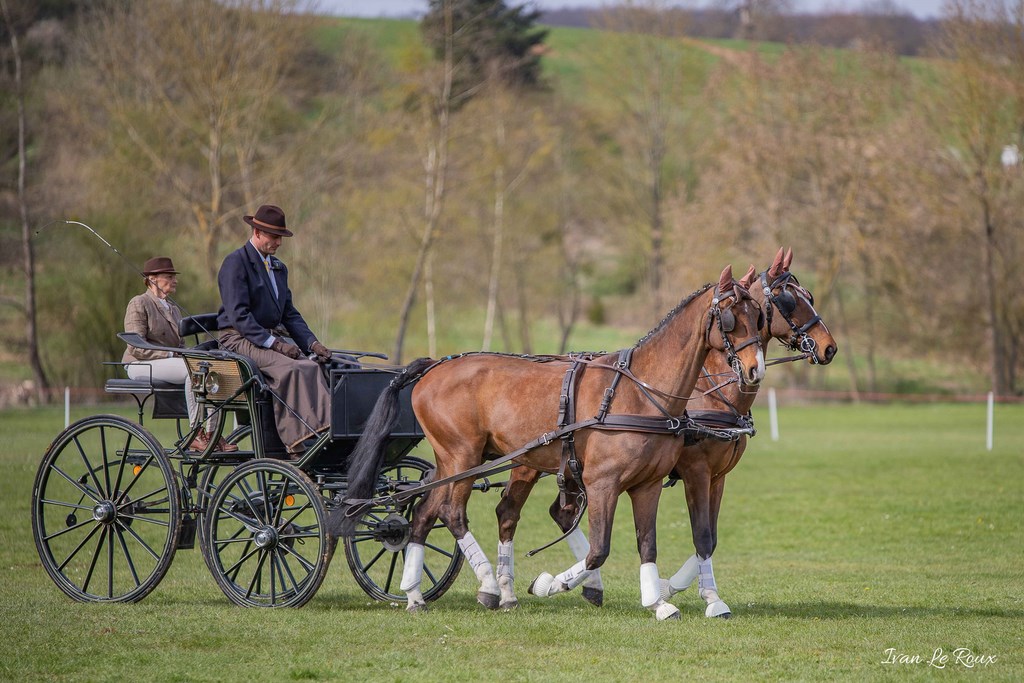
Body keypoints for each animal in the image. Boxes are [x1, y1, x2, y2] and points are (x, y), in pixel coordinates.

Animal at [339, 266, 765, 618]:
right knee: (452, 512)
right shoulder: (609, 482)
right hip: (463, 456)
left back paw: (416, 594)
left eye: (760, 316)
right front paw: (552, 584)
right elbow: (600, 550)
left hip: (462, 461)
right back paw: (489, 586)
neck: (641, 392)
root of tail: (434, 366)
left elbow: (649, 544)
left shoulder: (649, 485)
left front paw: (658, 602)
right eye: (731, 318)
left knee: (427, 513)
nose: (754, 370)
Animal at [499, 249, 835, 618]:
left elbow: (711, 537)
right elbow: (702, 536)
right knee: (509, 512)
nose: (829, 348)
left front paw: (673, 589)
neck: (712, 391)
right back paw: (507, 590)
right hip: (527, 464)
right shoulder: (696, 471)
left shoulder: (718, 477)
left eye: (807, 296)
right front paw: (703, 597)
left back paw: (586, 587)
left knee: (559, 513)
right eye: (787, 300)